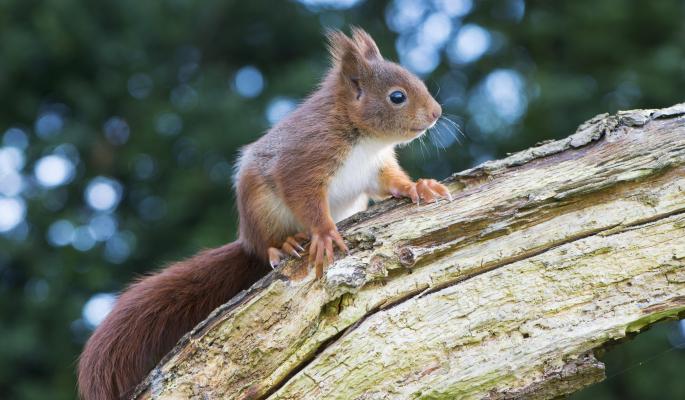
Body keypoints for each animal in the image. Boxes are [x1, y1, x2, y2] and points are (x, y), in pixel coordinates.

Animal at [77, 26, 448, 398]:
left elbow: (391, 182)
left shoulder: (375, 167)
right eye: (397, 97)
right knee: (264, 244)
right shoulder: (304, 161)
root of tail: (245, 237)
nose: (437, 113)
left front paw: (419, 187)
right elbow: (306, 200)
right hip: (260, 208)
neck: (365, 139)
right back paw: (282, 245)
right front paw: (325, 233)